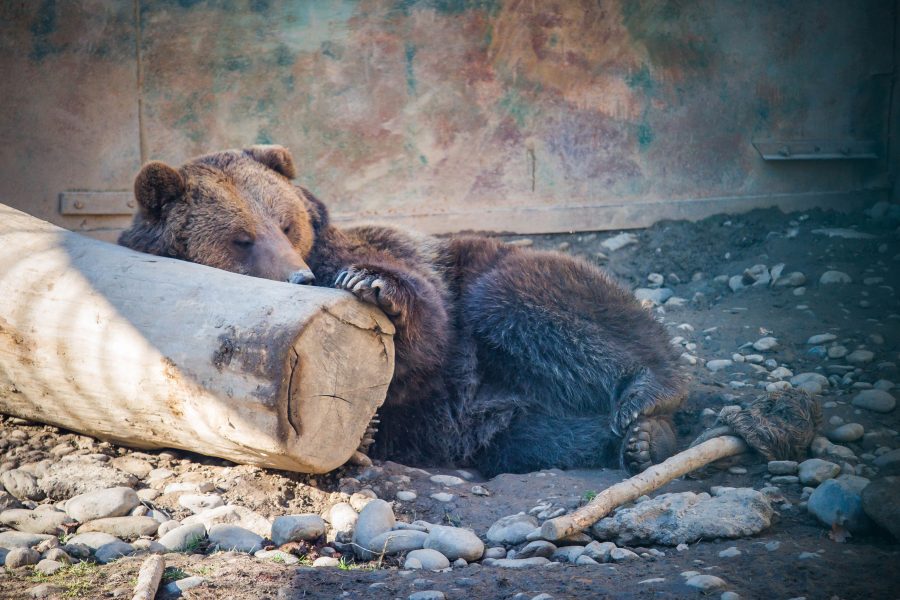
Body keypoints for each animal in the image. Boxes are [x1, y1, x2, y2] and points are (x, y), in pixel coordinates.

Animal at [118, 146, 684, 478]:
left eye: (286, 223)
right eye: (241, 238)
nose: (299, 278)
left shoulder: (387, 259)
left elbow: (426, 322)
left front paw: (370, 284)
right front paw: (365, 432)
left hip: (502, 273)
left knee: (525, 303)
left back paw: (648, 406)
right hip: (519, 427)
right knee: (544, 436)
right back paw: (645, 441)